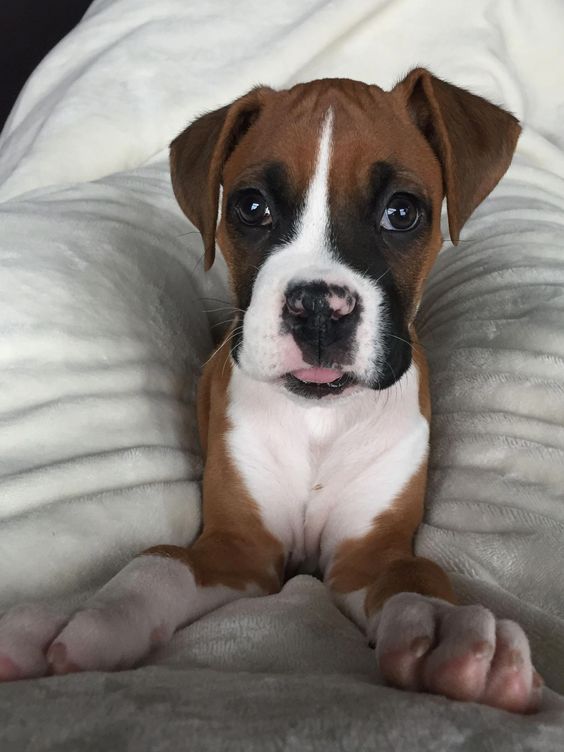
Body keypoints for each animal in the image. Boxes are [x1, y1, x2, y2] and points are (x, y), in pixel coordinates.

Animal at [0, 69, 540, 712]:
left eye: (402, 212)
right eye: (251, 206)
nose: (319, 309)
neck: (317, 420)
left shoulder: (370, 553)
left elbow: (416, 574)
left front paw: (443, 627)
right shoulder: (238, 547)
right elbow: (160, 562)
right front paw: (84, 612)